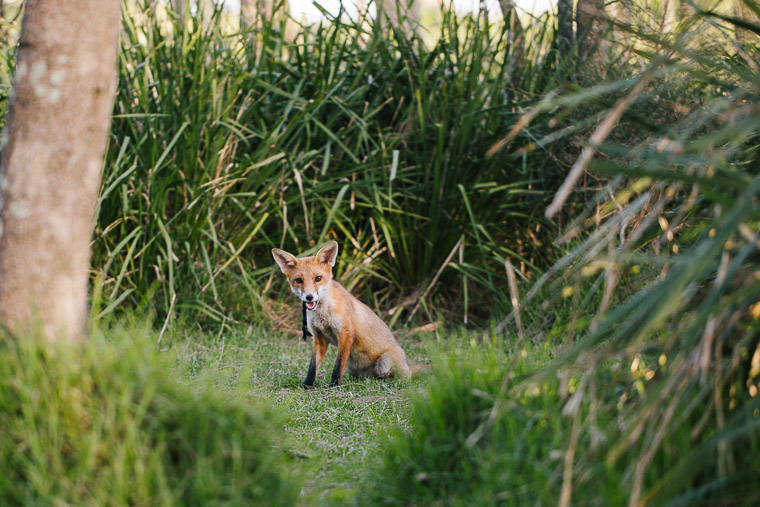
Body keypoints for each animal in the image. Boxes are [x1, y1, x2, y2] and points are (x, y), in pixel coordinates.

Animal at [272, 242, 412, 388]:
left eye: (318, 278)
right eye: (299, 280)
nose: (309, 297)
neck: (323, 313)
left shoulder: (345, 334)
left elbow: (338, 366)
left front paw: (334, 385)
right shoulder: (319, 337)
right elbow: (313, 367)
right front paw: (307, 385)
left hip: (384, 362)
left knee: (391, 377)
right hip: (353, 368)